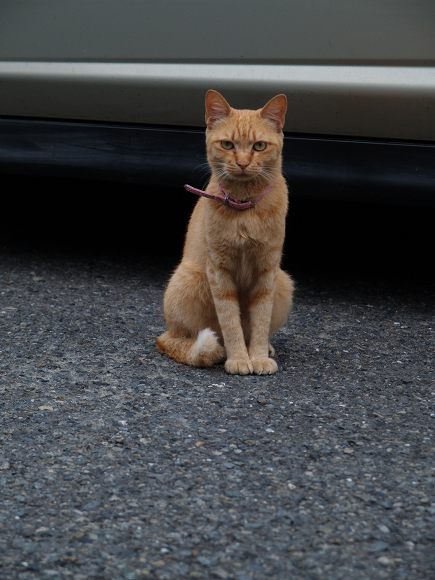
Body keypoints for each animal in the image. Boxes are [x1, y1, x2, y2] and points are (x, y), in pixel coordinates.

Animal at [155, 88, 294, 374]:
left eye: (259, 146)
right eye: (228, 145)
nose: (242, 163)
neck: (244, 207)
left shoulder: (267, 272)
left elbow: (260, 322)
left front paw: (258, 356)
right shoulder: (219, 272)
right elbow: (230, 323)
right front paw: (239, 358)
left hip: (283, 282)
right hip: (190, 280)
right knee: (184, 338)